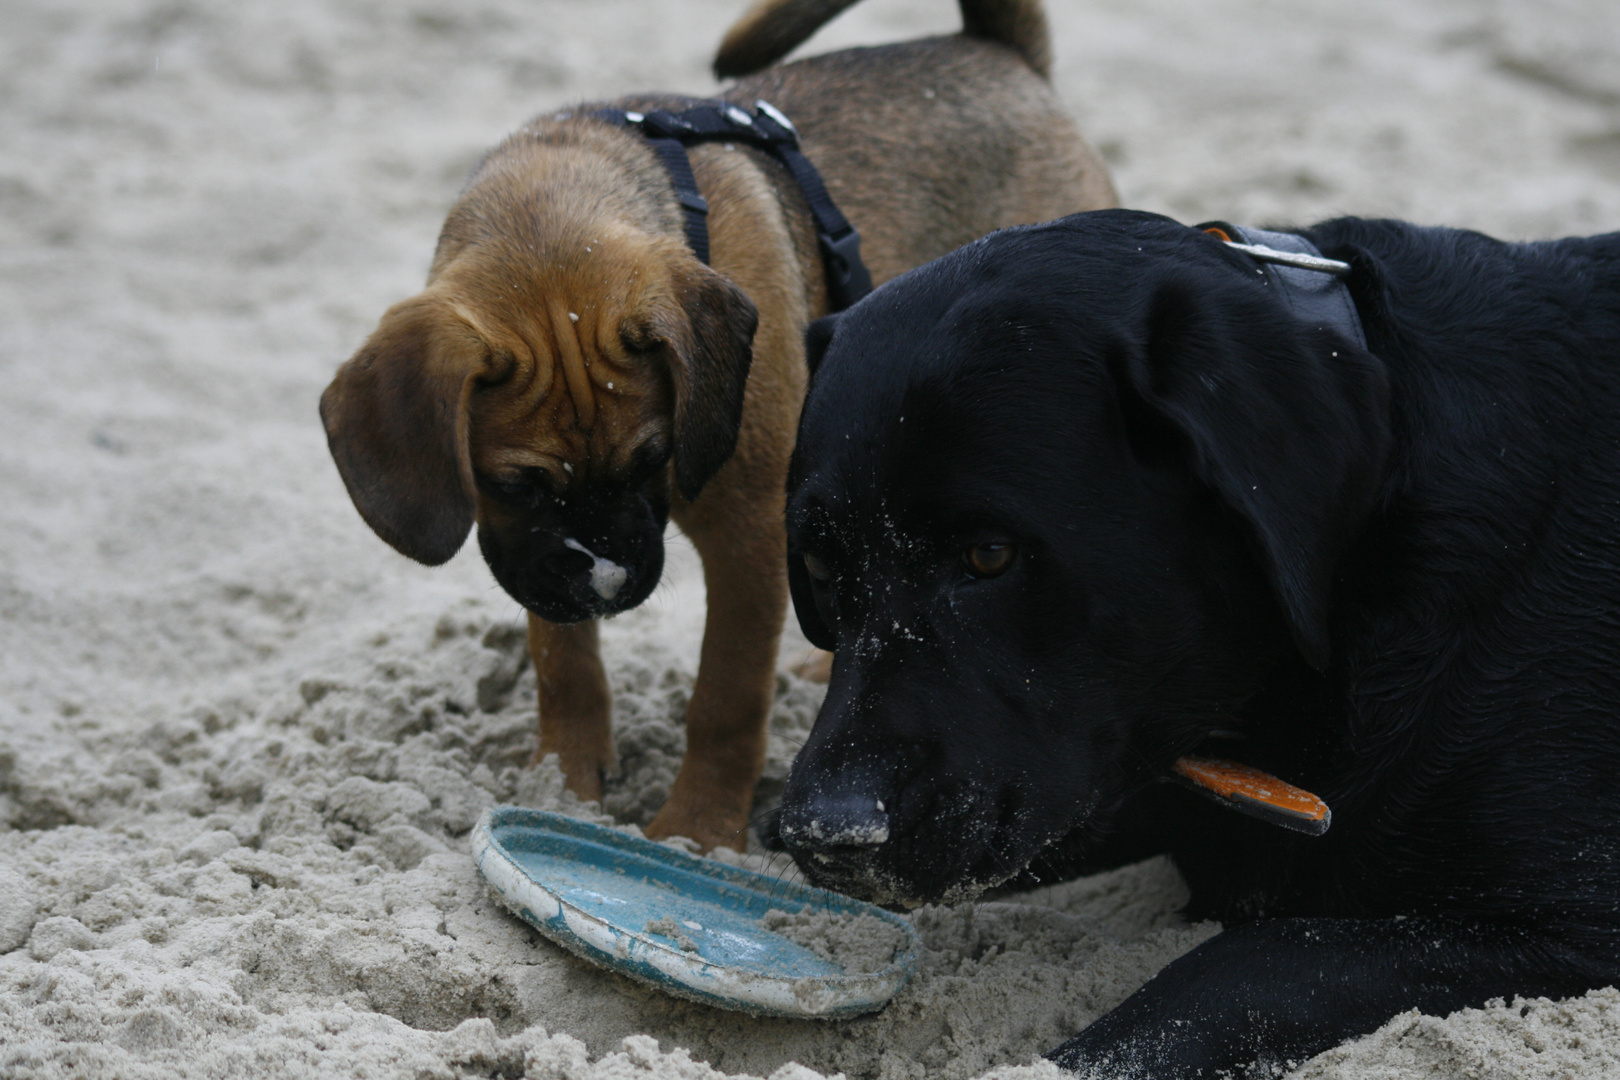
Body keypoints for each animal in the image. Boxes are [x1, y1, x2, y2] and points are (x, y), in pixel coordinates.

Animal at [315, 0, 1114, 854]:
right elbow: (564, 664)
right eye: (513, 486)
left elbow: (725, 699)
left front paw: (694, 831)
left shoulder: (749, 540)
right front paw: (563, 782)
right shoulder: (536, 559)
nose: (606, 585)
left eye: (653, 460)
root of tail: (997, 53)